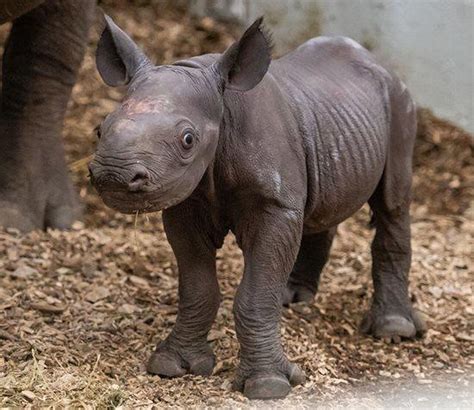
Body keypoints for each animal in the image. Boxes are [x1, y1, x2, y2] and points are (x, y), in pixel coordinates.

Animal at [89, 15, 426, 398]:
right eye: (100, 129)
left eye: (188, 139)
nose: (114, 175)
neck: (222, 108)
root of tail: (378, 64)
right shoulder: (184, 203)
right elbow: (197, 287)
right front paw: (173, 365)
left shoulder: (274, 207)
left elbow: (254, 295)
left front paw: (268, 385)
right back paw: (293, 297)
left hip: (399, 104)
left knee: (393, 202)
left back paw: (394, 330)